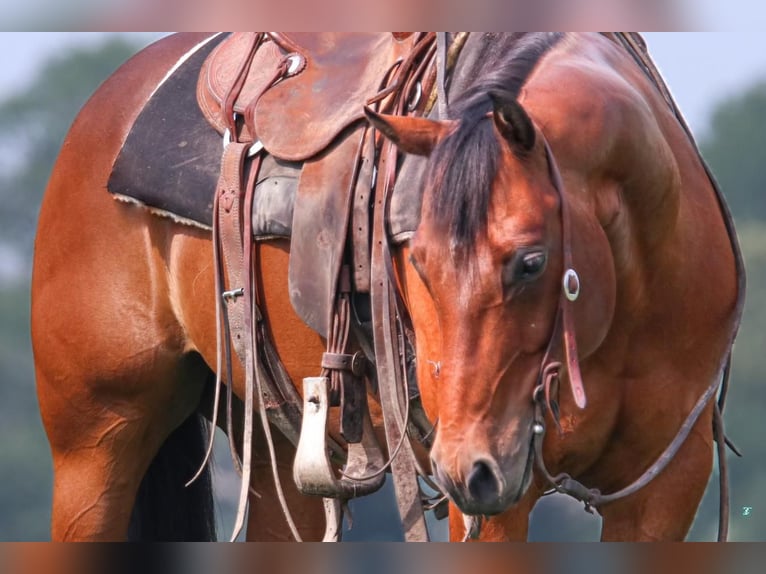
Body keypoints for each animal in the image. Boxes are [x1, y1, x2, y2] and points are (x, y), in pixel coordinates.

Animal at [31, 32, 744, 544]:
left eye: (531, 263)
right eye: (415, 260)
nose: (467, 467)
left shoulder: (666, 488)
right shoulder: (496, 501)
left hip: (271, 448)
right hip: (94, 446)